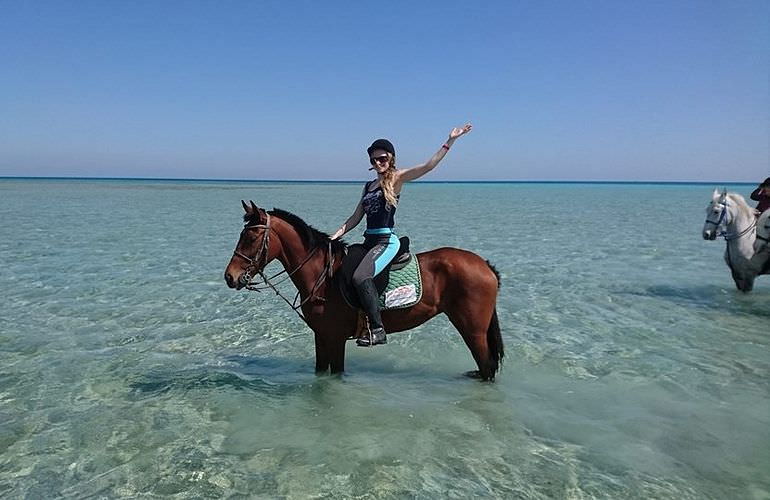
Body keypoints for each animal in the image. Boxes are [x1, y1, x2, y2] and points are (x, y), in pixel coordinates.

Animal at [222, 201, 504, 380]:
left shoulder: (335, 338)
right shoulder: (321, 336)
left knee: (487, 367)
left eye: (251, 238)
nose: (229, 277)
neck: (323, 277)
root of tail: (484, 265)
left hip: (473, 330)